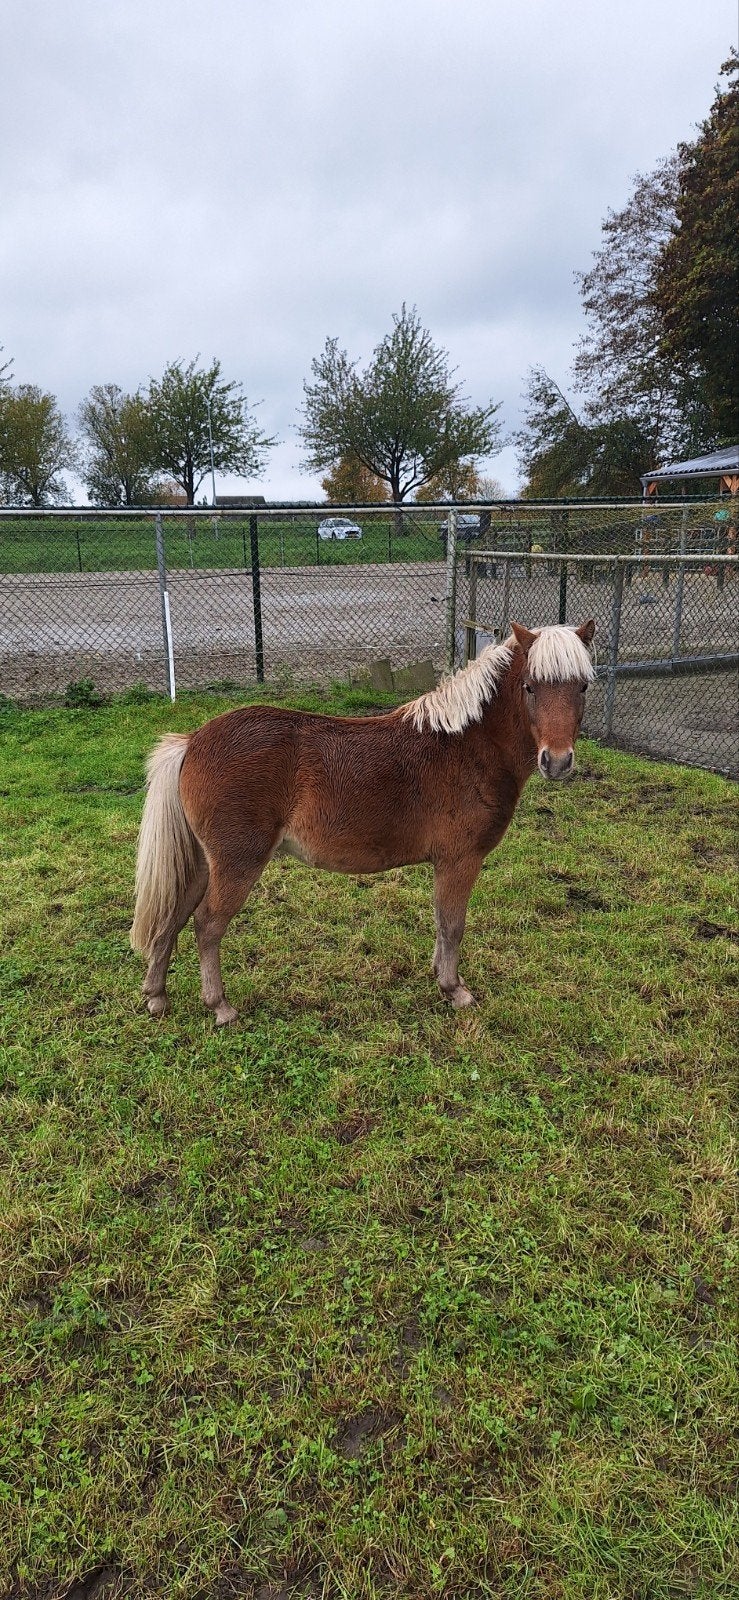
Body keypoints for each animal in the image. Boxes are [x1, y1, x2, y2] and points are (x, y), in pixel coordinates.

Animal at [130, 620, 596, 1024]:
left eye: (583, 686)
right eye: (530, 686)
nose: (557, 762)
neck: (466, 745)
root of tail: (193, 741)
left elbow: (441, 923)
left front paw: (439, 976)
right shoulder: (460, 860)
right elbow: (453, 924)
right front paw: (454, 989)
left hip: (202, 863)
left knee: (174, 915)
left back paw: (156, 996)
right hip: (236, 863)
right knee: (207, 925)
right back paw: (220, 1007)